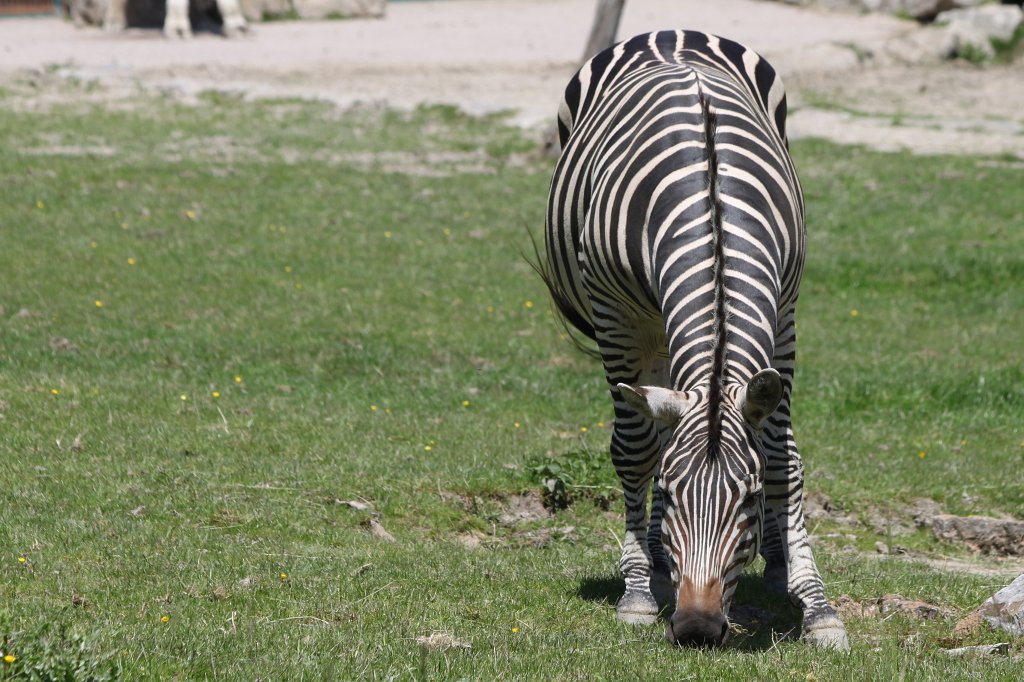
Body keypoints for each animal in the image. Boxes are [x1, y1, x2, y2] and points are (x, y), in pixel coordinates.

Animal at [541, 30, 848, 649]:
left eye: (750, 499)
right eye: (672, 492)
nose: (696, 628)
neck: (712, 209)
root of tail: (669, 33)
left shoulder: (785, 314)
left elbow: (783, 457)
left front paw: (816, 604)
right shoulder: (617, 318)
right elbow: (635, 451)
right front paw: (638, 592)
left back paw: (774, 566)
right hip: (646, 333)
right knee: (647, 431)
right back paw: (655, 570)